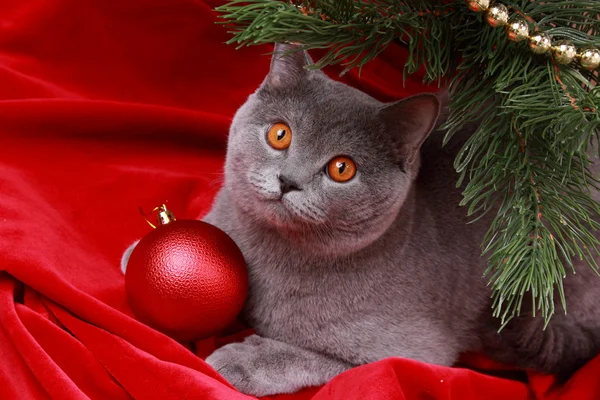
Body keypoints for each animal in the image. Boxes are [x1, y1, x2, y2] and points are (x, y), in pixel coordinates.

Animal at [120, 43, 600, 394]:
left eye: (341, 169)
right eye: (280, 134)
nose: (288, 180)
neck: (268, 251)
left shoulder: (415, 351)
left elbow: (315, 356)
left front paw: (244, 359)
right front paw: (143, 250)